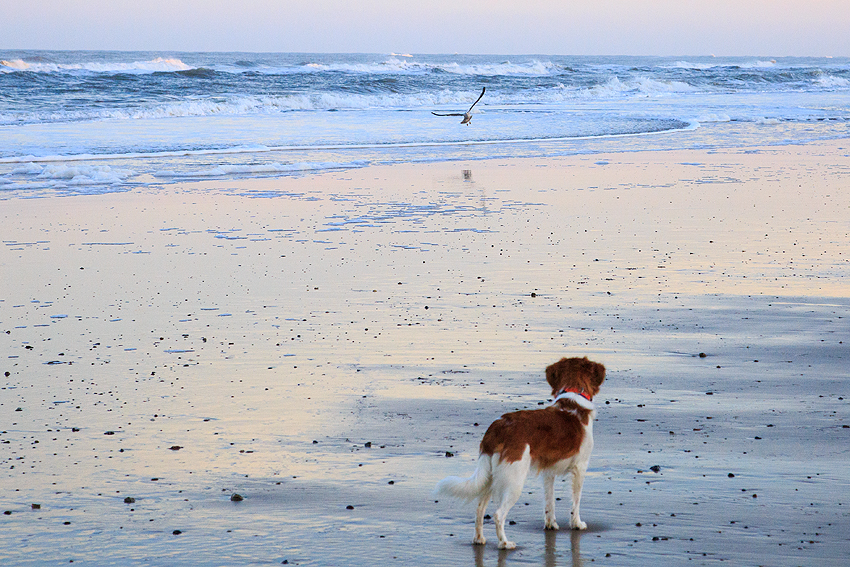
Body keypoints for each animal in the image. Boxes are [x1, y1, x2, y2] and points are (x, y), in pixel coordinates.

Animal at [434, 358, 608, 548]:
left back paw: (479, 539)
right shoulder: (580, 468)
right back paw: (505, 543)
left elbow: (549, 502)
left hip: (490, 477)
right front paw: (577, 524)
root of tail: (497, 427)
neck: (574, 396)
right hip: (514, 480)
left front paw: (551, 524)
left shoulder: (548, 472)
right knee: (498, 514)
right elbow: (576, 501)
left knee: (480, 509)